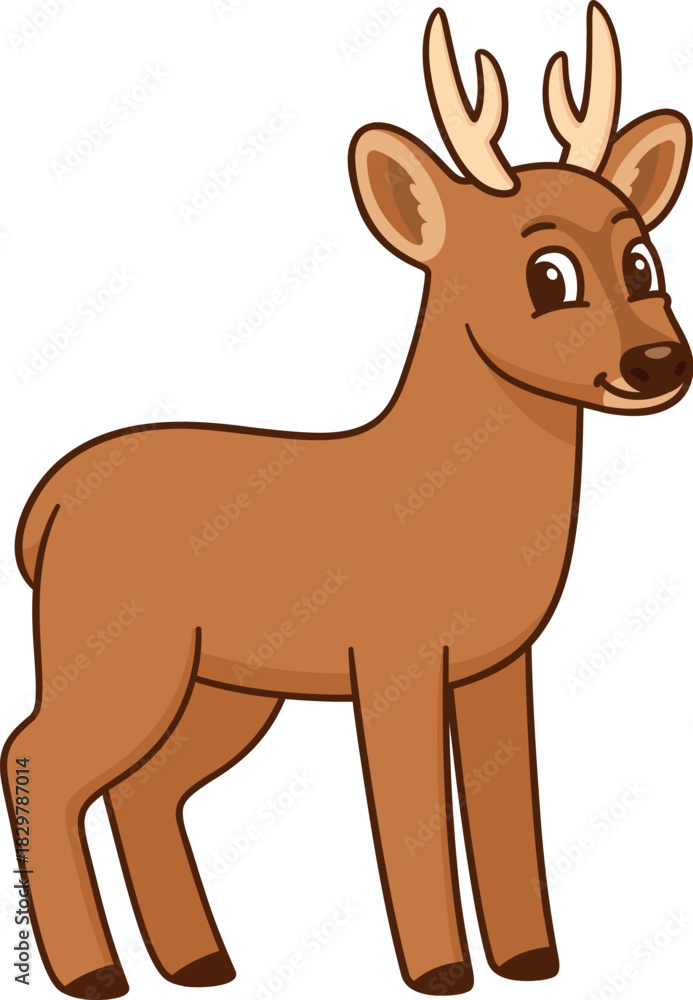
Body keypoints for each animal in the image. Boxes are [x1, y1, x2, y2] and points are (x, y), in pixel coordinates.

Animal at [2, 3, 691, 997]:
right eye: (548, 275)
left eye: (641, 260)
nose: (658, 362)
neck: (435, 485)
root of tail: (44, 505)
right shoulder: (394, 656)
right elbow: (407, 811)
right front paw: (439, 970)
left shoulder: (496, 664)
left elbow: (506, 807)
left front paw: (531, 960)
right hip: (114, 647)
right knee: (38, 757)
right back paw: (96, 972)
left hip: (222, 684)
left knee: (142, 788)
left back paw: (201, 960)